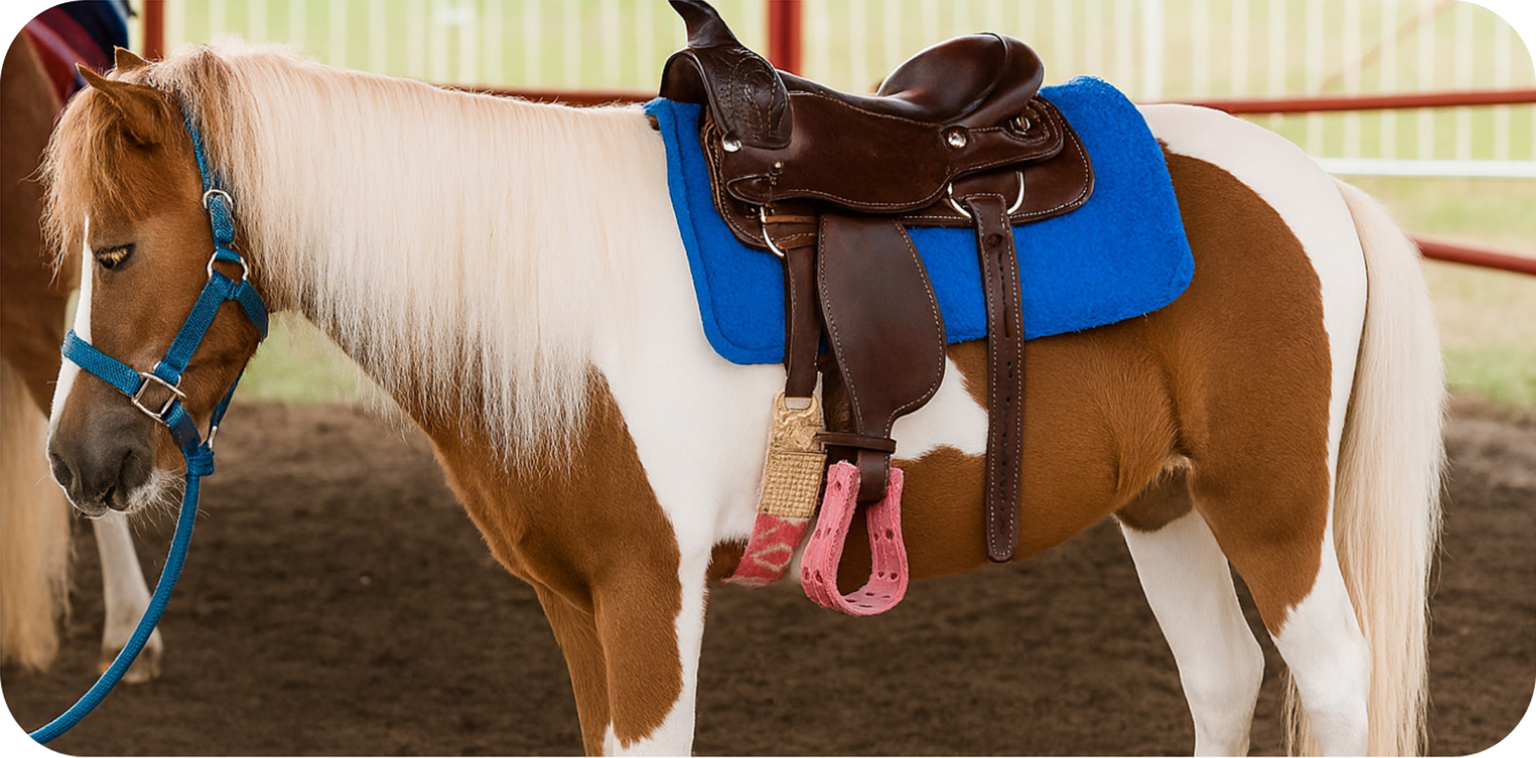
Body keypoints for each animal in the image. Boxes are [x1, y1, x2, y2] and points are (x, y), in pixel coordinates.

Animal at [39, 43, 1443, 756]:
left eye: (117, 250)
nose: (74, 462)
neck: (558, 296)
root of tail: (1322, 186)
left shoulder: (650, 597)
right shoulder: (577, 607)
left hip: (1272, 509)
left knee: (1335, 679)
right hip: (1165, 506)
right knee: (1222, 677)